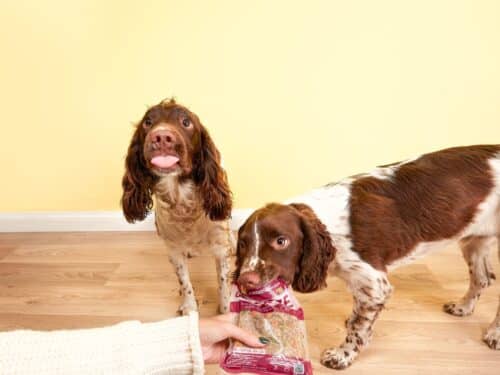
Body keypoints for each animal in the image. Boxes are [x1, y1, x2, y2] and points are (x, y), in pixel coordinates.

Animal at [121, 98, 234, 316]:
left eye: (186, 122)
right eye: (148, 122)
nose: (161, 137)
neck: (182, 200)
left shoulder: (219, 247)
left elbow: (223, 283)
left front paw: (225, 311)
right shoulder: (172, 249)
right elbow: (184, 281)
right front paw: (189, 308)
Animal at [234, 146, 500, 370]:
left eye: (281, 241)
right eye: (244, 243)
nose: (245, 281)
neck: (331, 226)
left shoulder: (375, 283)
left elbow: (358, 328)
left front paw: (343, 355)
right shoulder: (361, 281)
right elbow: (359, 314)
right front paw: (353, 321)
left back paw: (494, 334)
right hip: (475, 240)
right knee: (482, 278)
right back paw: (463, 307)